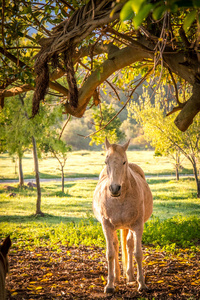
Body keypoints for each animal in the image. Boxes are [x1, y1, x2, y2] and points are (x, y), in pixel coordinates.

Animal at [93, 139, 152, 292]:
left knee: (129, 245)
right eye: (106, 161)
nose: (114, 188)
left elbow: (138, 253)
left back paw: (130, 276)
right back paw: (117, 277)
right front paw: (109, 285)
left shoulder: (138, 226)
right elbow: (110, 253)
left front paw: (142, 284)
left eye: (124, 162)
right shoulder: (106, 226)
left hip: (129, 227)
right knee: (115, 246)